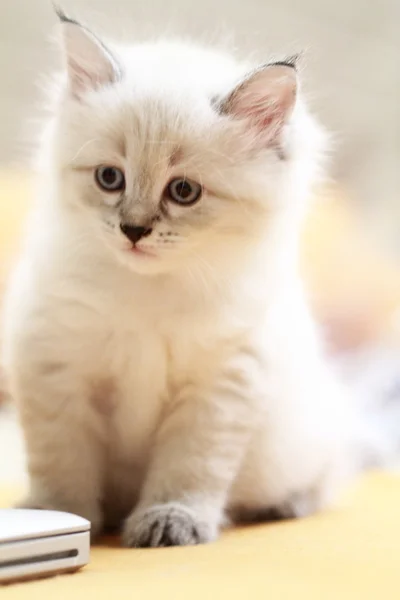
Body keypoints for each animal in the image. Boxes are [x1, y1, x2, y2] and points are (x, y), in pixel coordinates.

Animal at [1, 12, 396, 548]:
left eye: (184, 191)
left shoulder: (220, 385)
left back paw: (284, 505)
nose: (133, 231)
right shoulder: (57, 368)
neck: (149, 293)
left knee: (328, 477)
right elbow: (63, 462)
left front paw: (171, 522)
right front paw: (58, 515)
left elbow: (189, 467)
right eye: (109, 178)